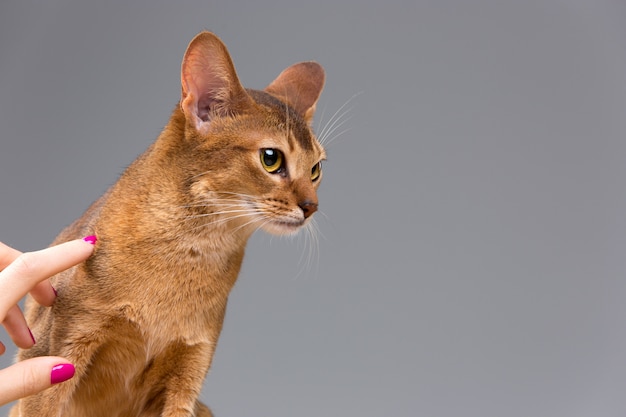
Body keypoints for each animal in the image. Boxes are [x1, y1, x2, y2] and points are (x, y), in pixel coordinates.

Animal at [11, 30, 326, 414]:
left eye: (316, 169)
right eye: (271, 159)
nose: (311, 207)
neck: (190, 253)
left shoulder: (189, 368)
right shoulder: (54, 353)